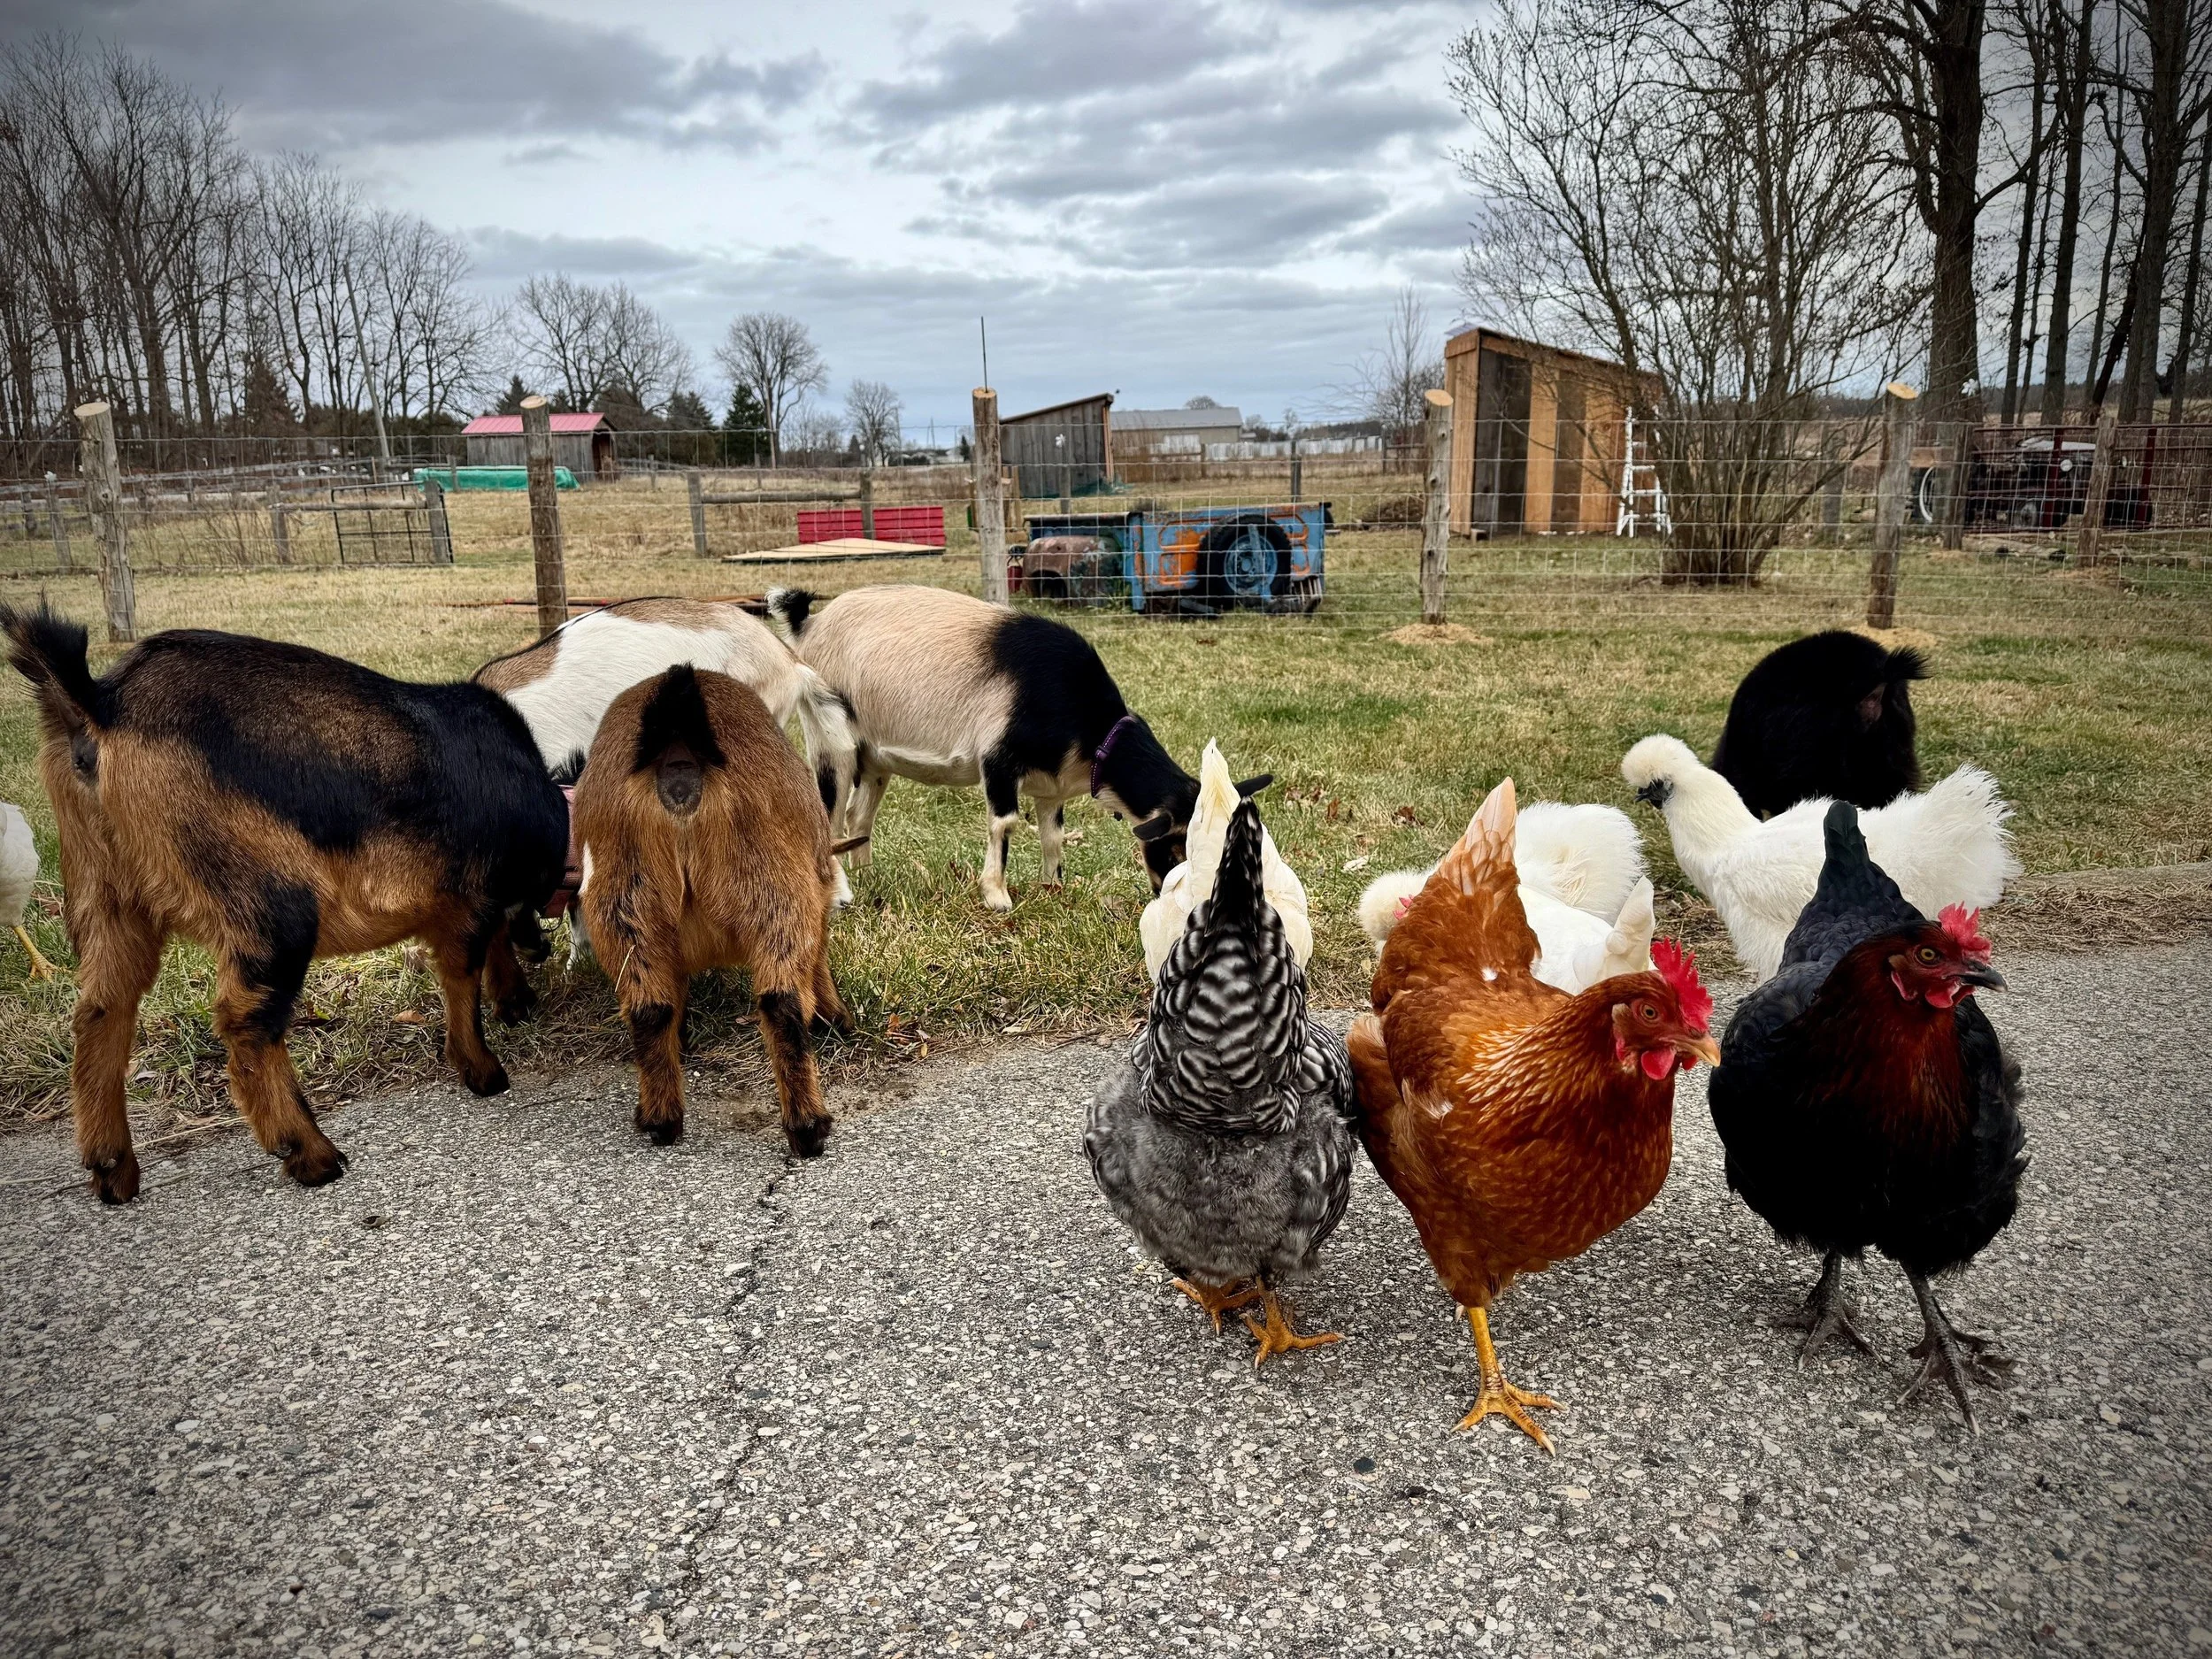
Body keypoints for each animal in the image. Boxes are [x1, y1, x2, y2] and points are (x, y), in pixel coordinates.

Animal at [1, 603, 567, 1203]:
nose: (542, 949)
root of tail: (97, 702)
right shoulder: (473, 899)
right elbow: (461, 974)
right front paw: (487, 1074)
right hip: (271, 908)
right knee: (244, 1021)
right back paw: (315, 1157)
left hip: (103, 894)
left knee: (100, 1010)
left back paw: (114, 1176)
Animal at [573, 664, 851, 1156]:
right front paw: (835, 1019)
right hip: (774, 883)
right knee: (782, 1000)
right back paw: (808, 1126)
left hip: (625, 902)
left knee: (649, 1008)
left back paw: (660, 1119)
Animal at [767, 585, 1199, 911]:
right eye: (1178, 850)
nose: (1168, 897)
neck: (1095, 732)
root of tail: (809, 624)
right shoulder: (999, 758)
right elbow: (1004, 822)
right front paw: (997, 897)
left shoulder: (1051, 785)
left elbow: (1052, 835)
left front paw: (1054, 888)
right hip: (830, 737)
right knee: (830, 815)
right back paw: (841, 895)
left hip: (874, 759)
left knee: (858, 818)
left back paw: (867, 875)